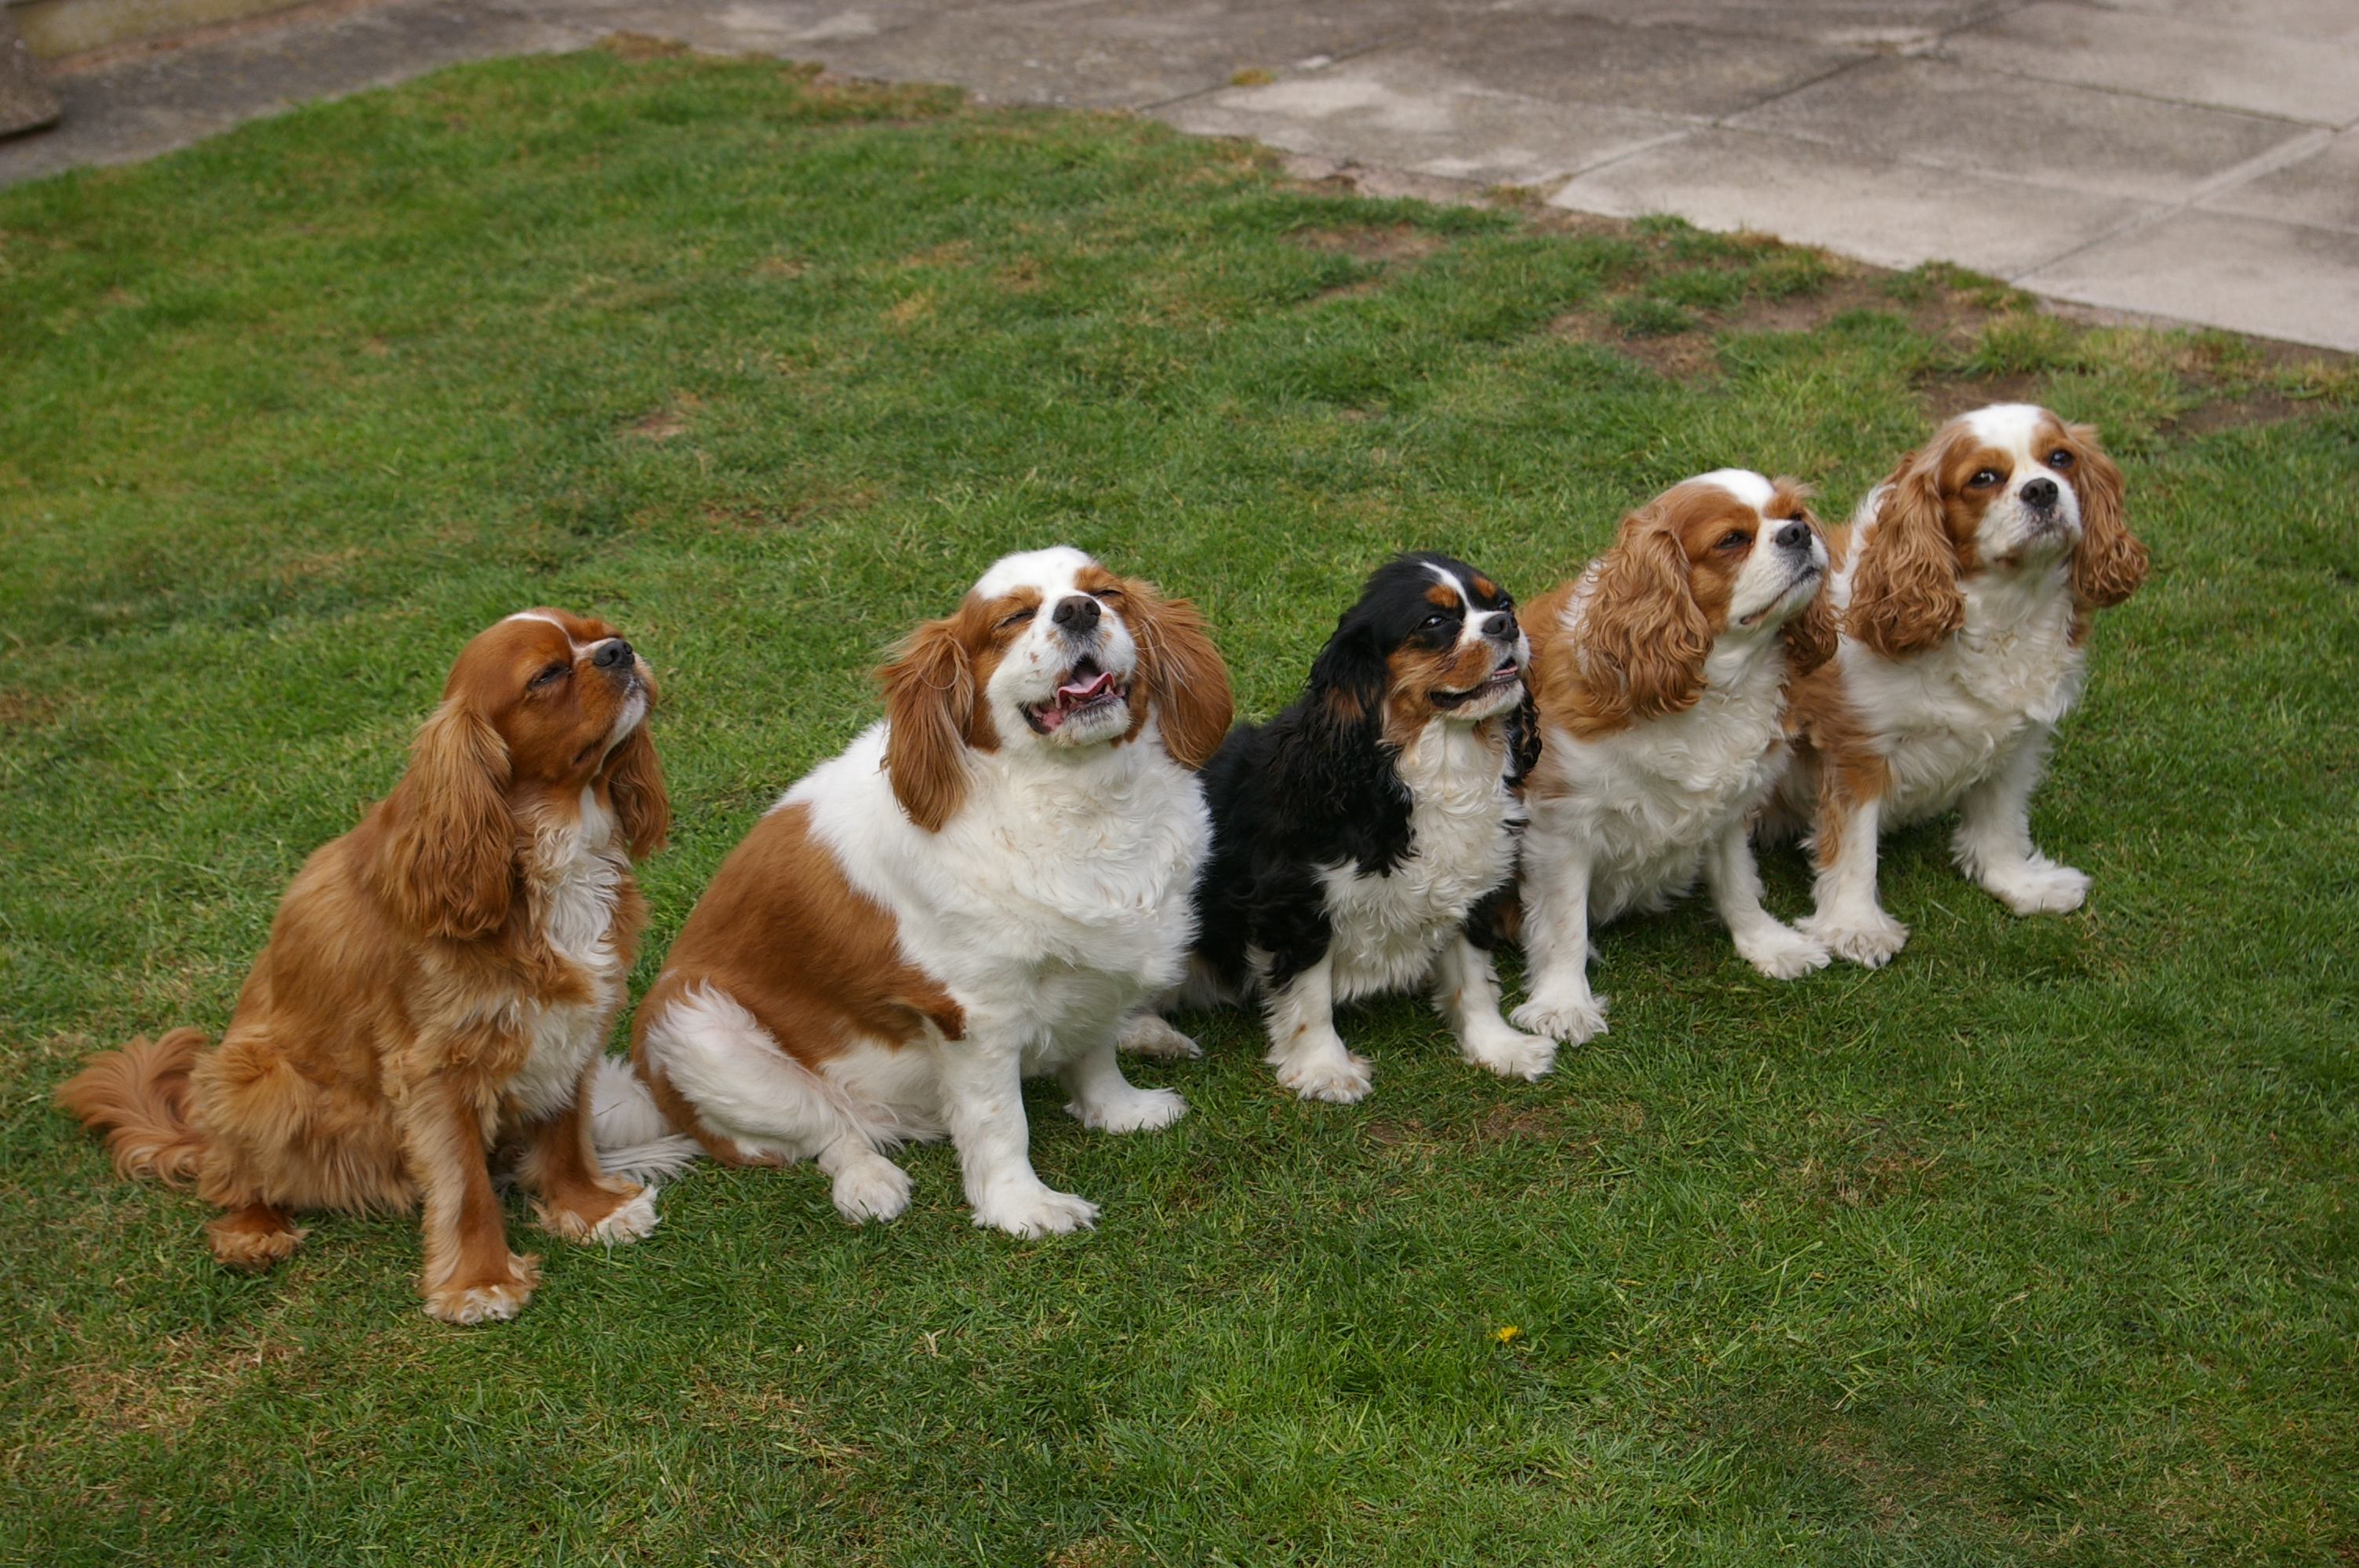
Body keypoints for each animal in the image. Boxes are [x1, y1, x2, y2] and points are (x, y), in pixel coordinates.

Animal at [57, 609, 670, 1324]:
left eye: (599, 629)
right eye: (546, 675)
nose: (619, 651)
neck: (548, 845)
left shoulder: (569, 1021)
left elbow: (566, 1129)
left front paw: (589, 1209)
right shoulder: (437, 1065)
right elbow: (464, 1184)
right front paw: (480, 1282)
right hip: (253, 1076)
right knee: (229, 1176)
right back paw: (254, 1231)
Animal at [627, 547, 1231, 1237]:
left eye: (1106, 594)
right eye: (1014, 618)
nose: (1078, 611)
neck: (1081, 797)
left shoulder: (1098, 968)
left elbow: (1094, 1049)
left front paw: (1119, 1110)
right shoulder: (973, 1012)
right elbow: (1000, 1123)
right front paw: (1022, 1207)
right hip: (696, 1031)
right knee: (828, 1132)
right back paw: (869, 1183)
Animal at [1162, 552, 1555, 1105]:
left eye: (1502, 603)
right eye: (1434, 622)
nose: (1507, 625)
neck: (1434, 762)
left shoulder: (1472, 885)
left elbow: (1474, 978)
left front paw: (1498, 1049)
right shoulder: (1296, 902)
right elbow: (1309, 996)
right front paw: (1325, 1070)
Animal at [1511, 471, 1837, 1044]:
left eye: (1794, 515)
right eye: (1732, 540)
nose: (1798, 533)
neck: (1713, 686)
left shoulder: (1729, 810)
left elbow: (1739, 883)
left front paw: (1766, 944)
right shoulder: (1561, 826)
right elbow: (1563, 922)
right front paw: (1564, 1004)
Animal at [1777, 404, 2148, 965]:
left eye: (2061, 458)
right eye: (1984, 478)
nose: (2043, 489)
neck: (2003, 608)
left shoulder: (2017, 739)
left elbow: (2001, 819)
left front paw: (2017, 884)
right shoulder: (1857, 747)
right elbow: (1856, 848)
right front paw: (1857, 927)